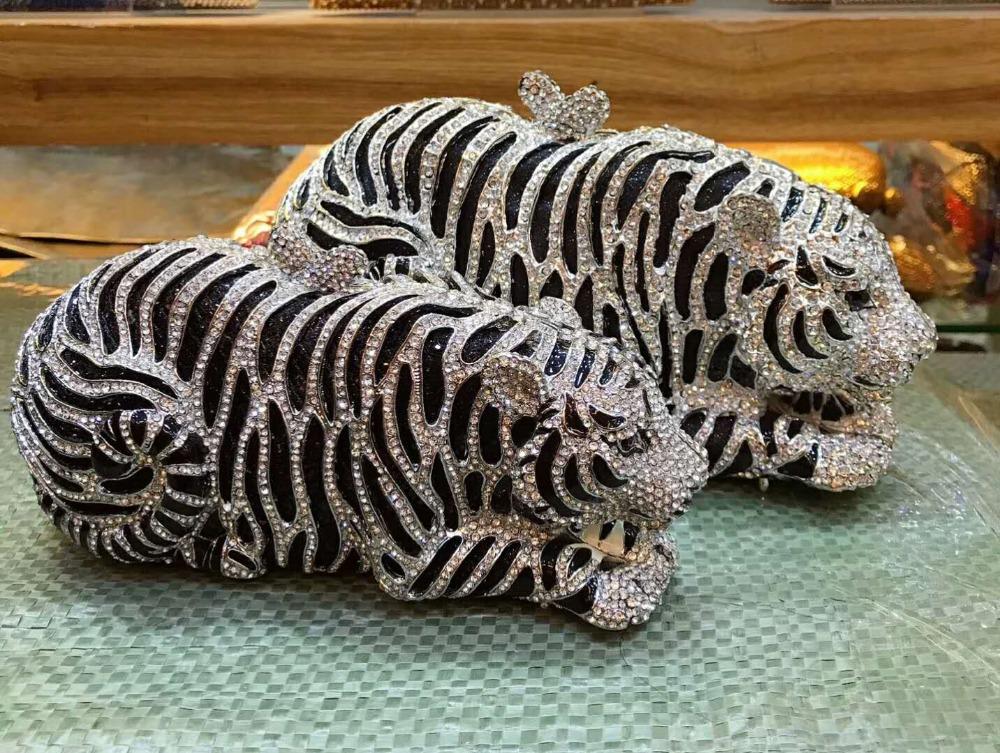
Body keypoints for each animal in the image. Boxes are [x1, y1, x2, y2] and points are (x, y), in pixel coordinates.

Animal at [10, 236, 708, 630]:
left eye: (660, 403)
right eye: (625, 441)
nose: (699, 477)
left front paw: (642, 553)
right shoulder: (422, 558)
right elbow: (543, 557)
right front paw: (629, 585)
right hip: (138, 433)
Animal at [272, 71, 937, 492]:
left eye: (892, 275)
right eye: (855, 294)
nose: (927, 343)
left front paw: (858, 413)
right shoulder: (690, 413)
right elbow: (799, 440)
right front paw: (850, 446)